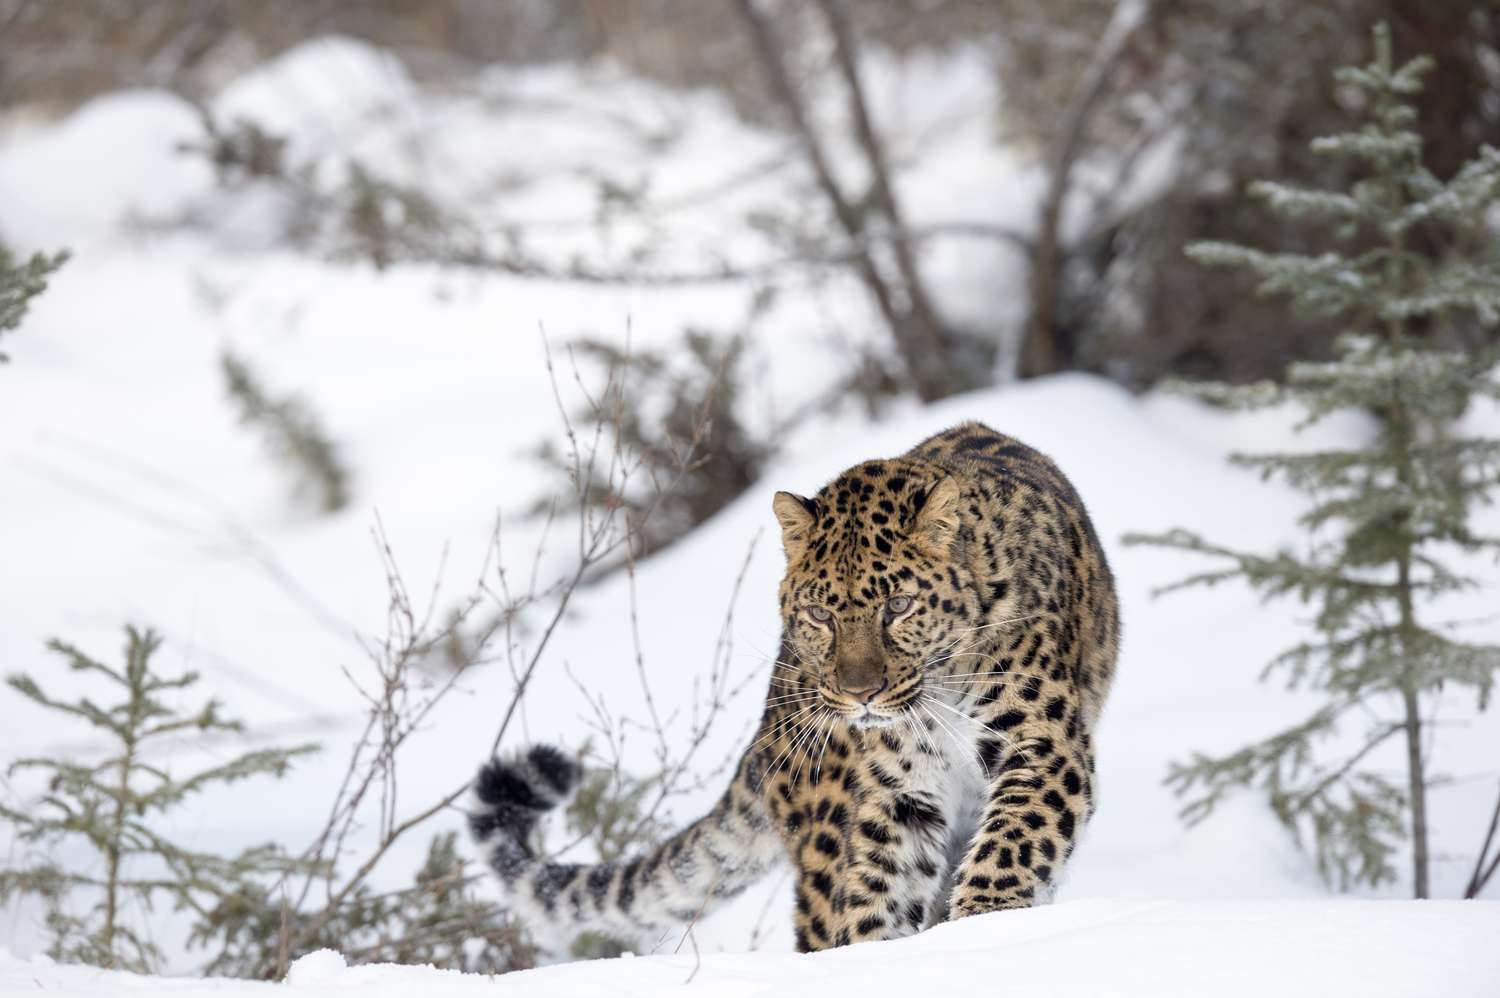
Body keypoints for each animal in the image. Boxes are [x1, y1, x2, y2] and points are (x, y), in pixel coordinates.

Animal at [469, 421, 1118, 952]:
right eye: (821, 614)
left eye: (898, 606)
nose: (859, 695)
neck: (940, 695)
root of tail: (765, 731)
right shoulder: (899, 792)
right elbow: (878, 889)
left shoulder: (1042, 743)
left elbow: (1012, 840)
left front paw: (984, 925)